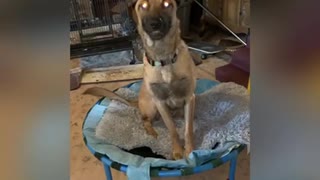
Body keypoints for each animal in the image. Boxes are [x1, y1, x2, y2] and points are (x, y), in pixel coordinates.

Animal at [84, 0, 195, 160]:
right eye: (143, 6)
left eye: (166, 4)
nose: (155, 23)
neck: (164, 57)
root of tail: (138, 101)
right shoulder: (160, 102)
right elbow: (172, 129)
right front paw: (177, 150)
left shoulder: (189, 98)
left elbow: (188, 128)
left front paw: (190, 150)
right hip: (152, 107)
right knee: (145, 120)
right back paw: (151, 132)